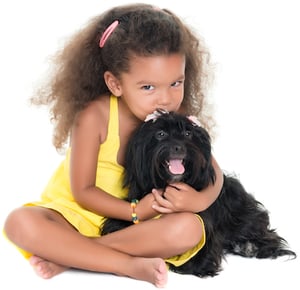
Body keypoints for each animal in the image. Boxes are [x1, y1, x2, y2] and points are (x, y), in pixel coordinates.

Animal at [101, 109, 296, 276]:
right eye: (160, 134)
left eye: (188, 134)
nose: (178, 147)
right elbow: (117, 225)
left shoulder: (203, 221)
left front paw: (195, 265)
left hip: (242, 213)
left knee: (265, 233)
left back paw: (249, 246)